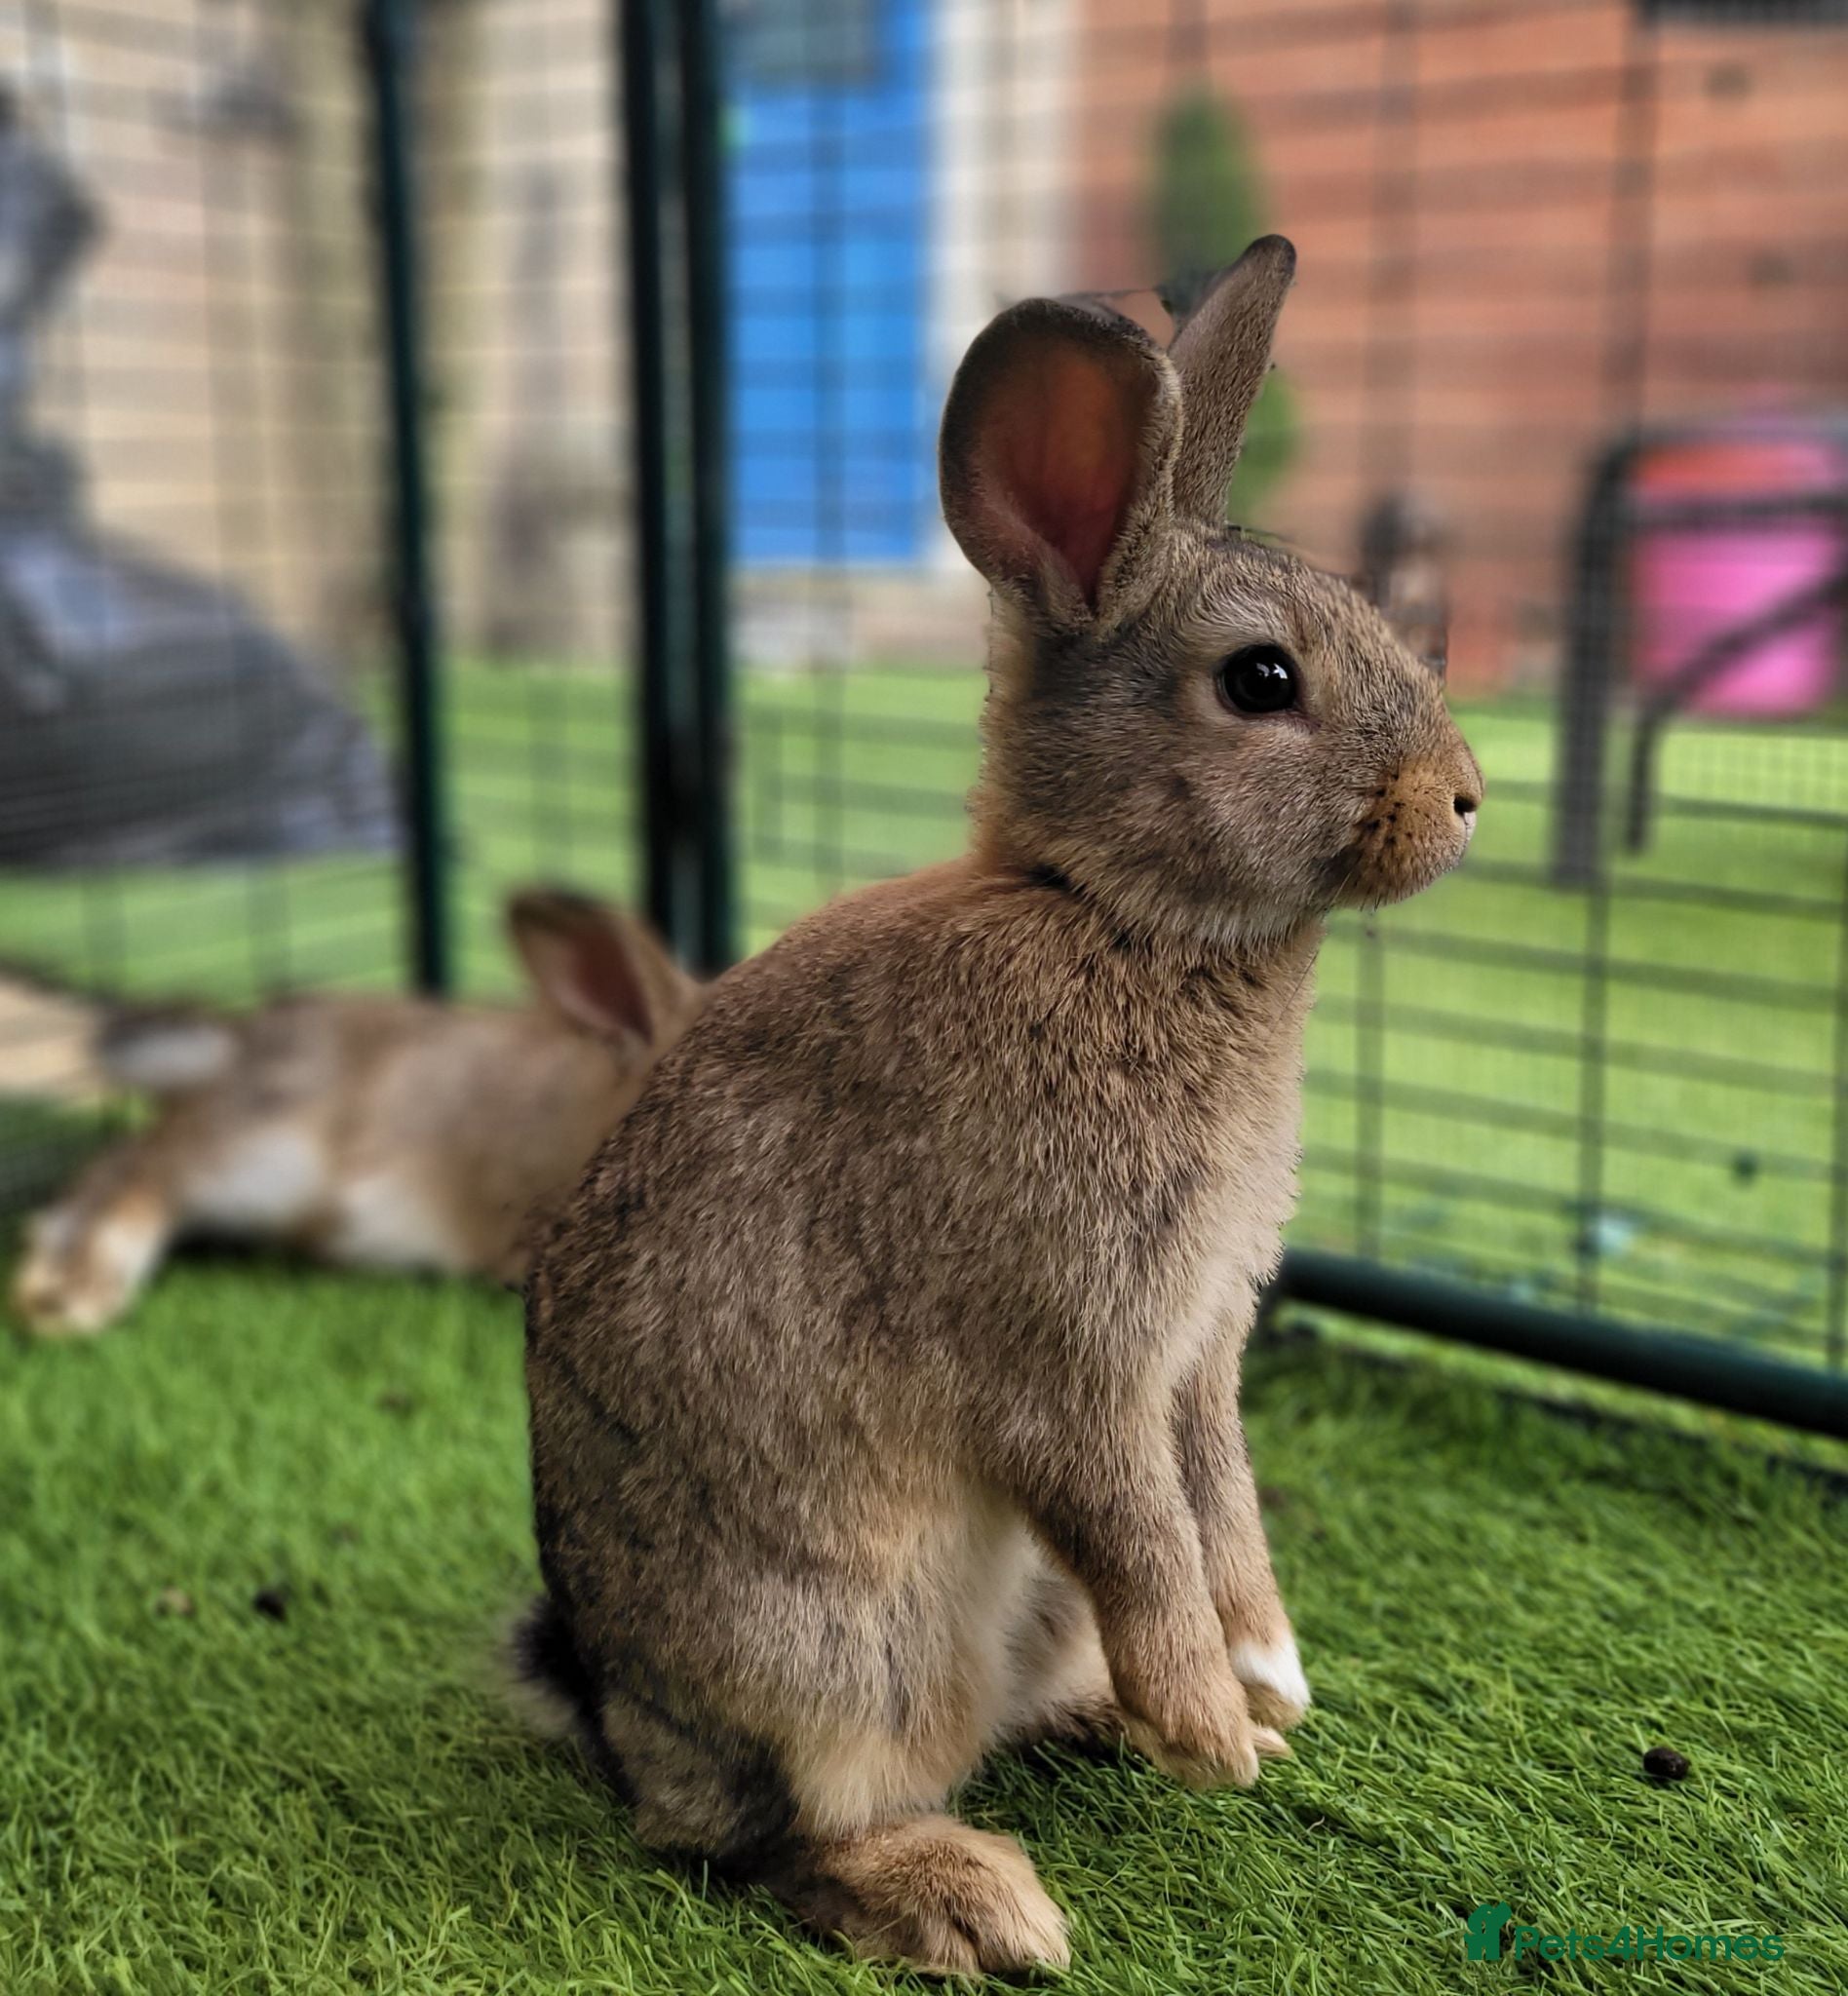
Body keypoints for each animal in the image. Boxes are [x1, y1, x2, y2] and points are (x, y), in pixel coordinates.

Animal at [517, 236, 1482, 1976]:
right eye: (1262, 680)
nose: (1463, 800)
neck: (1125, 922)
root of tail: (628, 1725)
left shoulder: (1196, 1357)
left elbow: (1220, 1513)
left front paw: (1268, 1682)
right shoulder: (1074, 1359)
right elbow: (1143, 1528)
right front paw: (1217, 1735)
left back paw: (1109, 1728)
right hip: (853, 1648)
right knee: (789, 1838)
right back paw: (979, 1900)